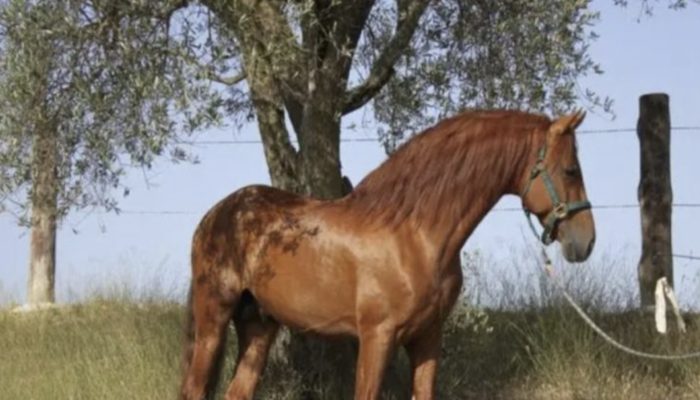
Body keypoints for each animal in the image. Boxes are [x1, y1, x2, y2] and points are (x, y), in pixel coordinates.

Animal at [179, 110, 595, 400]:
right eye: (570, 170)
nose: (586, 242)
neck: (414, 234)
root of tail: (216, 215)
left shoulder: (427, 338)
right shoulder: (377, 337)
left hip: (259, 326)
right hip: (213, 318)